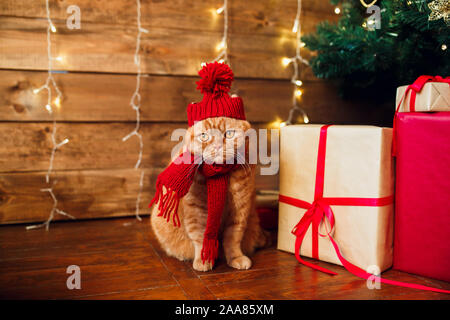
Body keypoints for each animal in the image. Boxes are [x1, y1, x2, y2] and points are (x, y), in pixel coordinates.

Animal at [151, 116, 270, 272]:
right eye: (204, 136)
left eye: (229, 134)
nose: (217, 146)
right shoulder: (196, 210)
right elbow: (201, 237)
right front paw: (203, 259)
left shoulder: (239, 209)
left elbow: (233, 237)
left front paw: (236, 257)